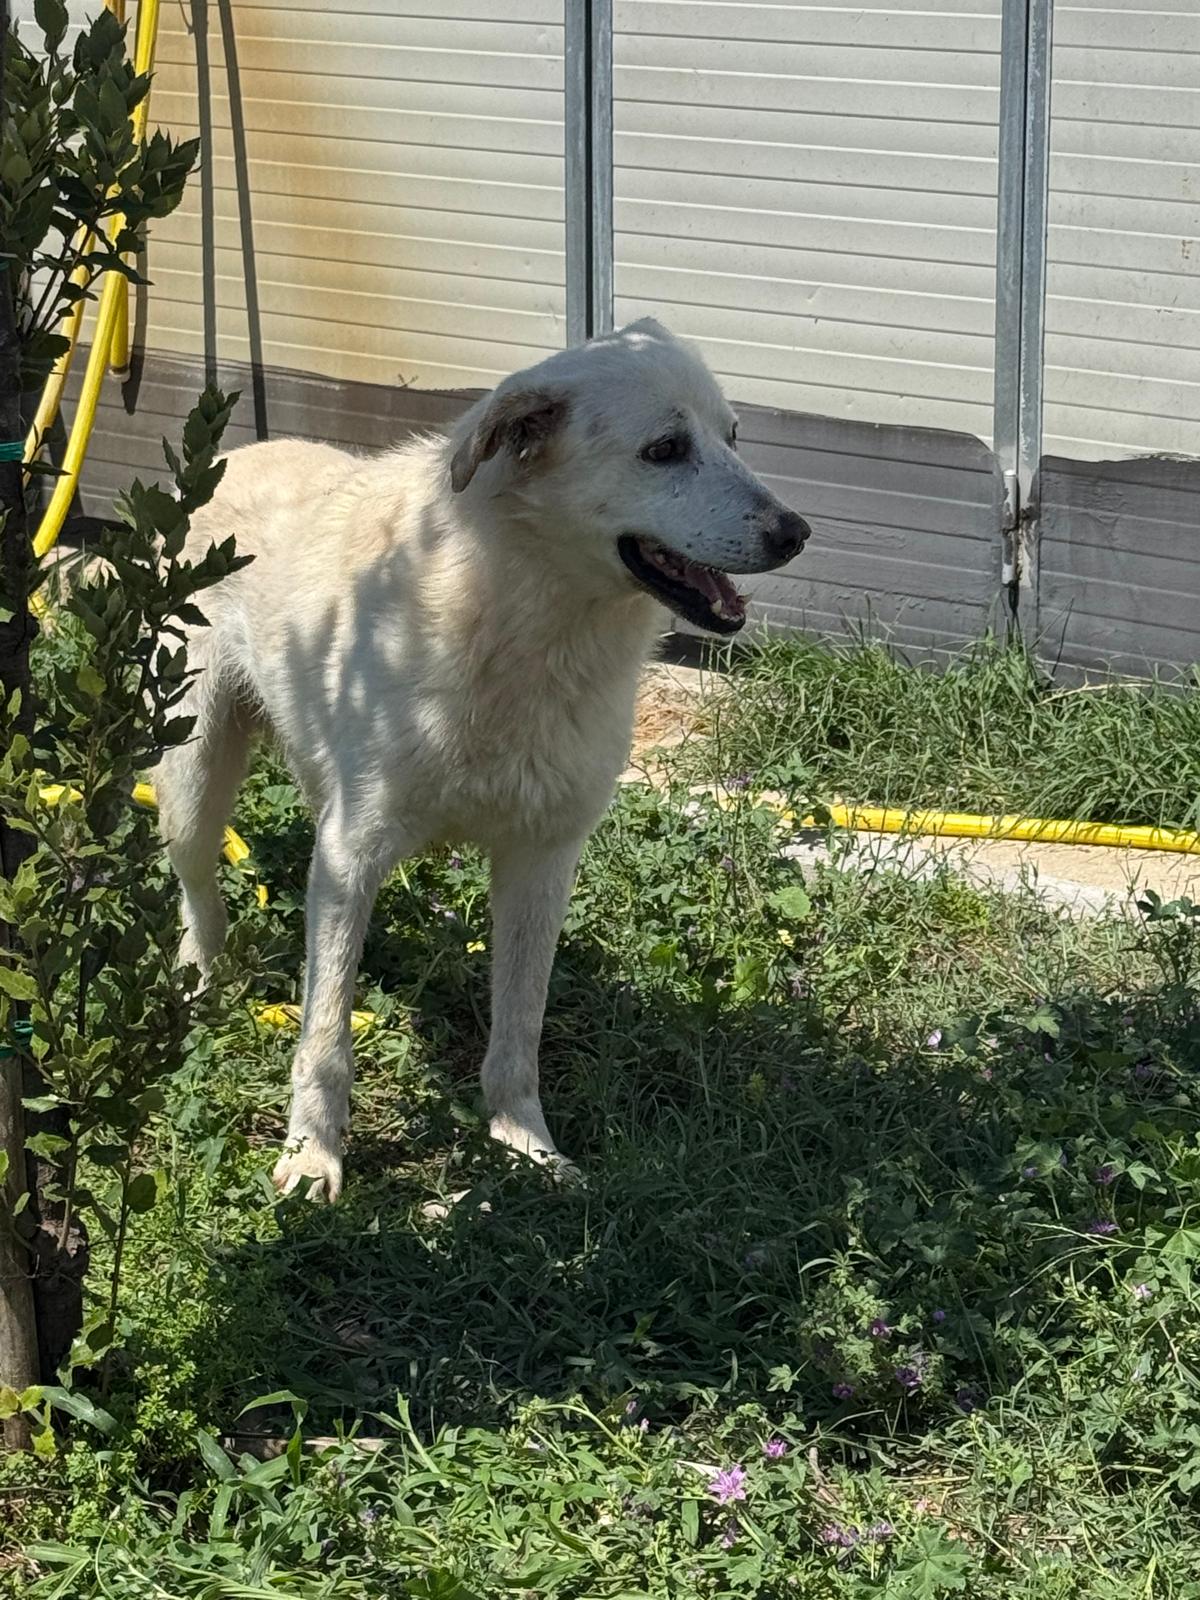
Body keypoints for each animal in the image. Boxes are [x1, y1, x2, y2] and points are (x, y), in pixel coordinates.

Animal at [154, 318, 810, 1198]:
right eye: (665, 449)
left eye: (733, 436)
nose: (795, 533)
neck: (520, 621)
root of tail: (240, 454)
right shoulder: (350, 854)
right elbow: (324, 1033)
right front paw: (312, 1155)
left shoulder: (543, 859)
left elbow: (519, 1028)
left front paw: (524, 1143)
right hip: (193, 777)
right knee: (199, 898)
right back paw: (199, 985)